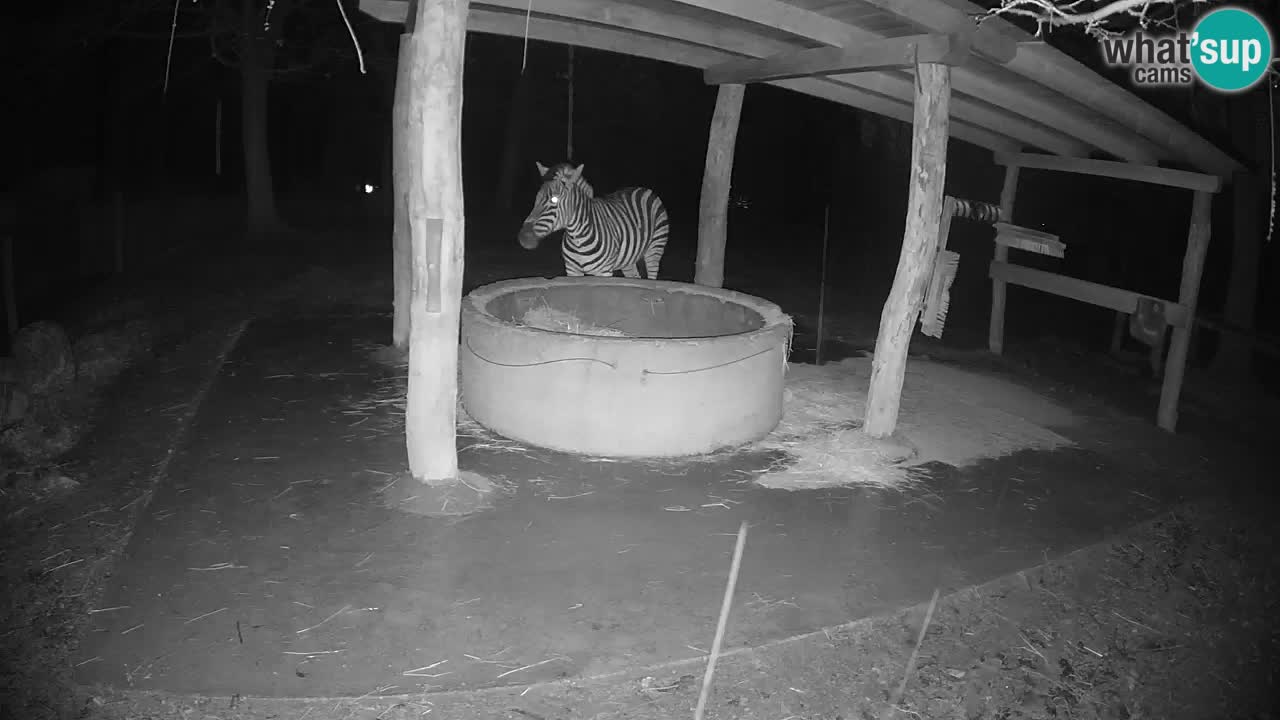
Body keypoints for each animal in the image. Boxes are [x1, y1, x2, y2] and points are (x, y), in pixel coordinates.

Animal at [517, 162, 671, 279]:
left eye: (554, 199)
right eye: (536, 199)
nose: (523, 237)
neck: (577, 239)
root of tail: (644, 189)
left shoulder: (604, 271)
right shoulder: (572, 271)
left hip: (655, 248)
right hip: (629, 259)